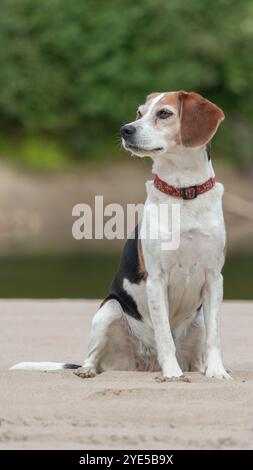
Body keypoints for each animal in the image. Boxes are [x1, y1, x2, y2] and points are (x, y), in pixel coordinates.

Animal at [11, 90, 229, 380]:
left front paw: (216, 371)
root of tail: (147, 363)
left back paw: (198, 368)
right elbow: (164, 335)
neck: (183, 192)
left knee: (199, 348)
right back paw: (88, 371)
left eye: (164, 113)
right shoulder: (157, 279)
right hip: (109, 310)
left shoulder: (214, 278)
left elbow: (215, 336)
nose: (126, 129)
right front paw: (172, 373)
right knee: (92, 357)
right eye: (139, 113)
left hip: (198, 319)